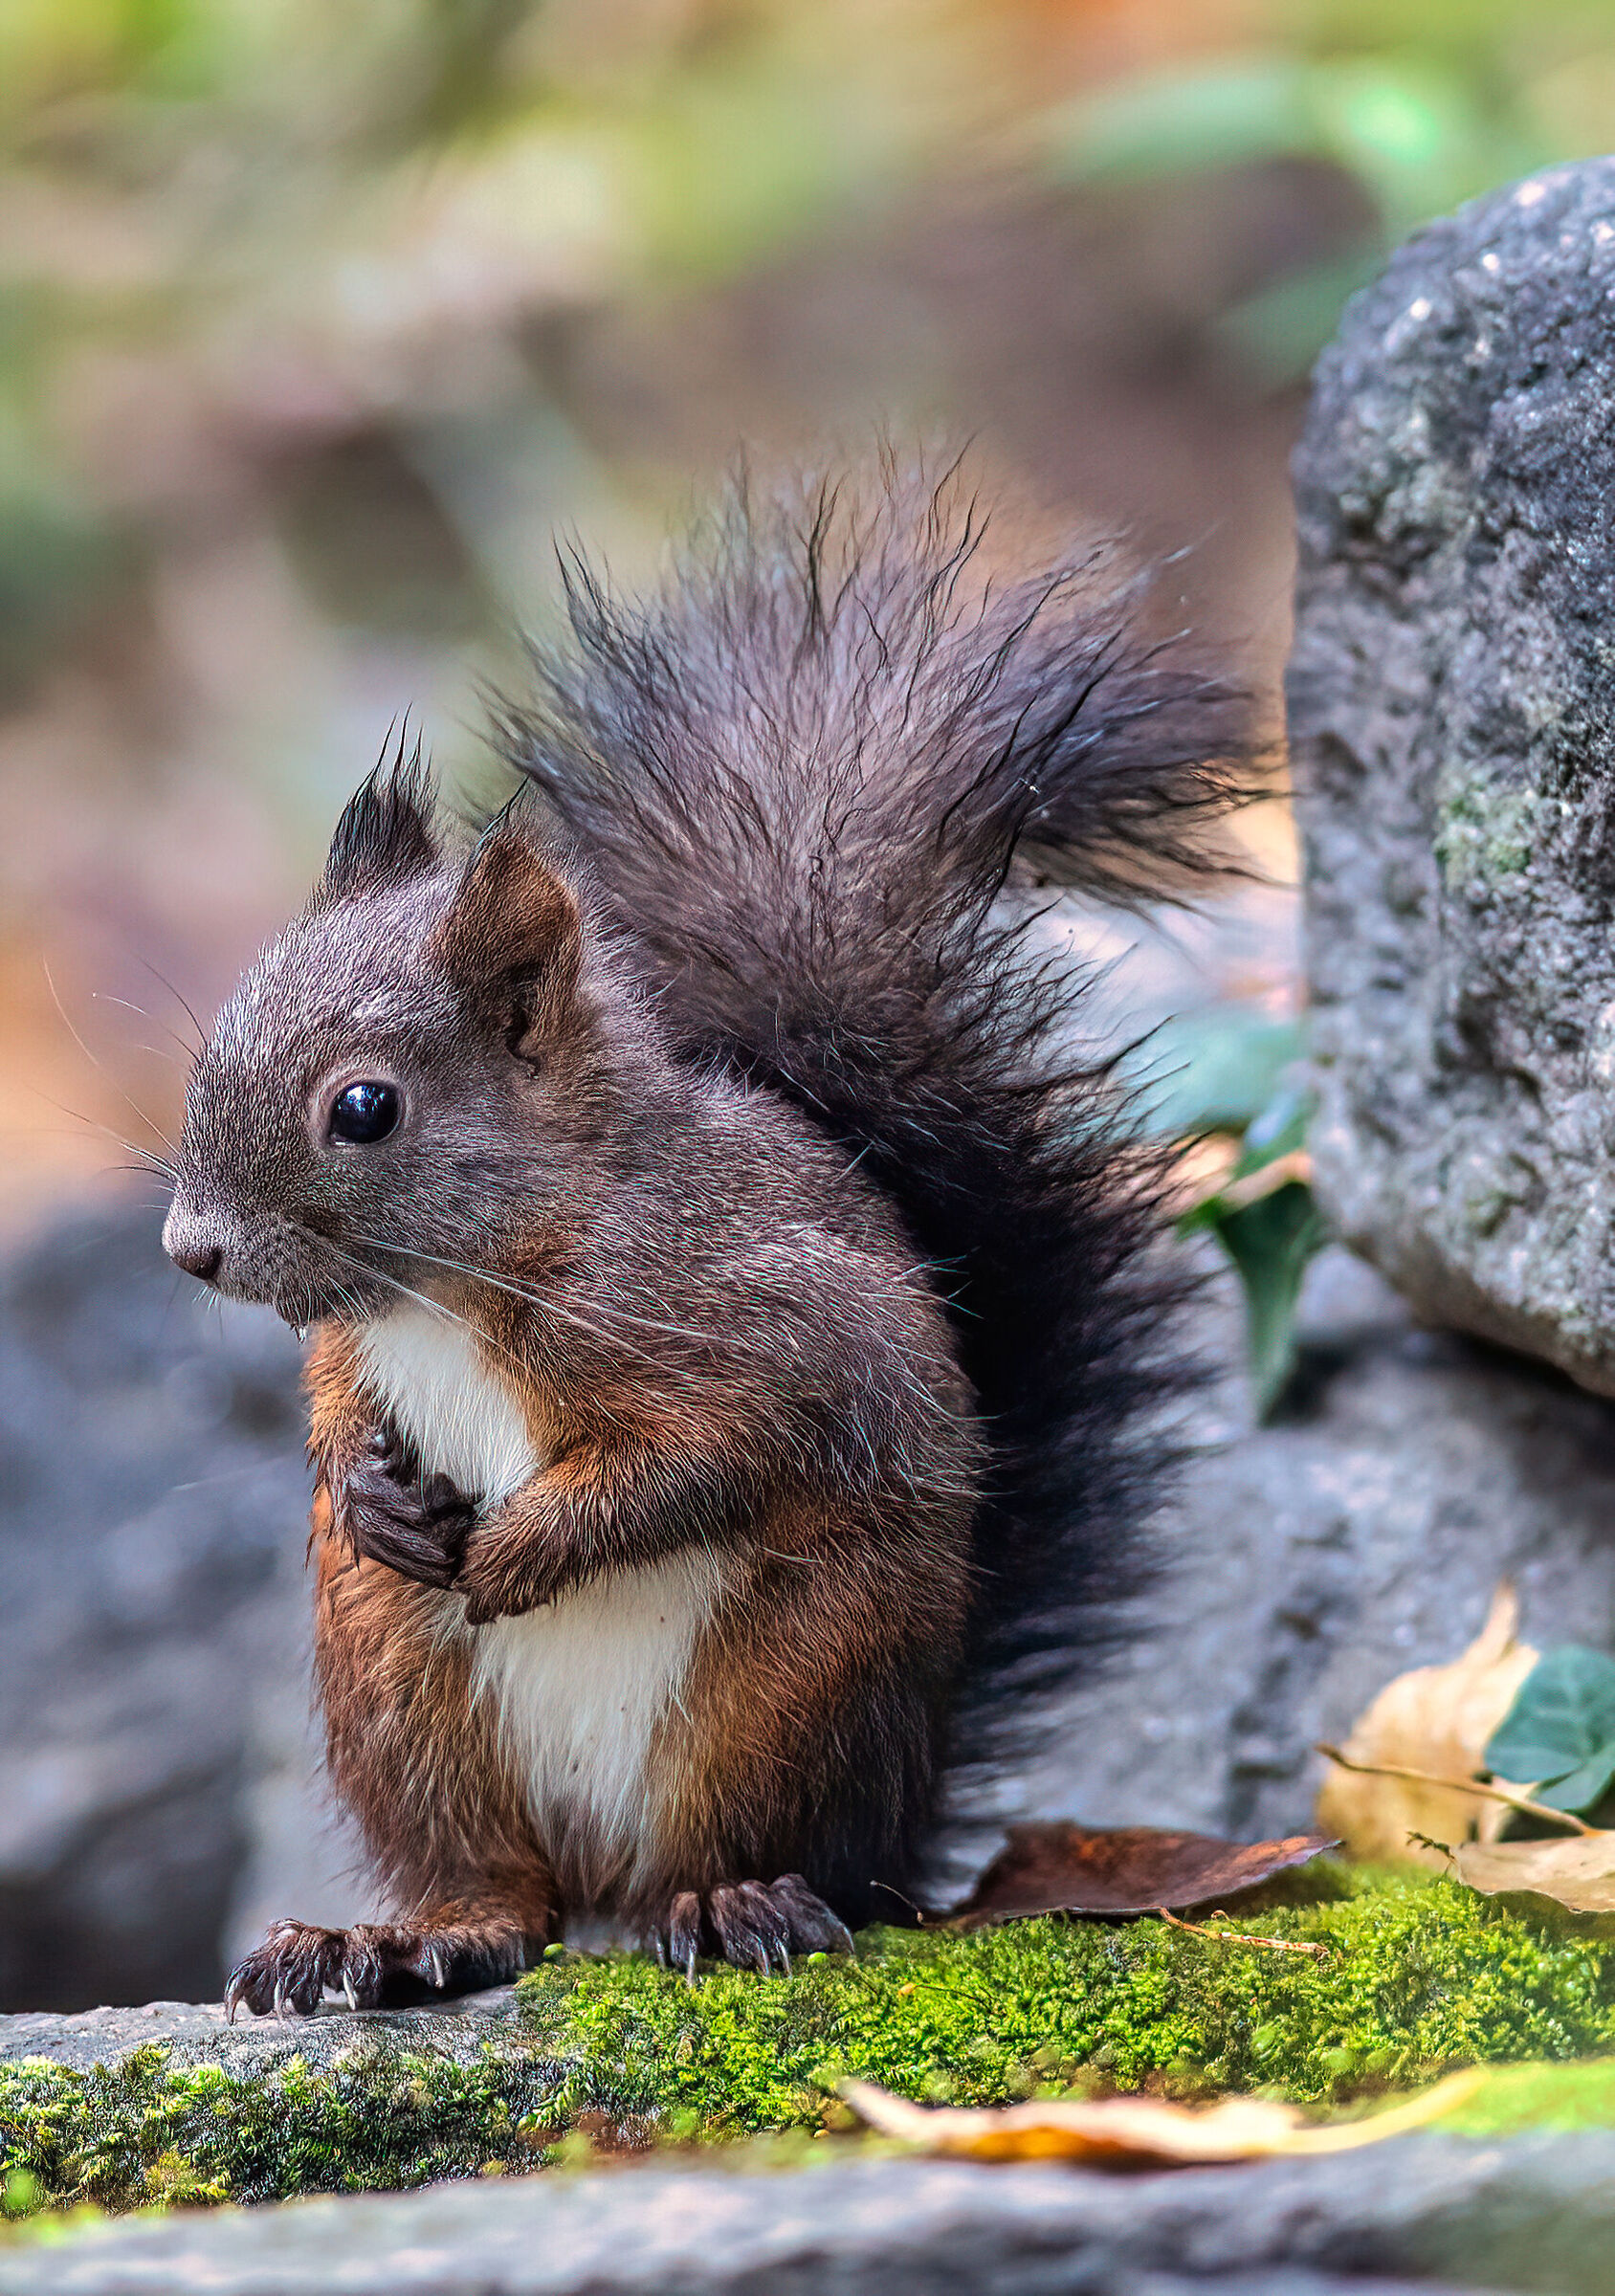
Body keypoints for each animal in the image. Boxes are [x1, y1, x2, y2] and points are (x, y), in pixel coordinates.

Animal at [161, 466, 1244, 2013]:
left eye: (363, 1109)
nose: (190, 1249)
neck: (463, 1284)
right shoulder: (360, 1349)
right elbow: (328, 1401)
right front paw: (364, 1489)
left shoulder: (754, 1319)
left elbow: (710, 1452)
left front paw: (527, 1551)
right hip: (397, 1685)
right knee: (507, 1890)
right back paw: (410, 1935)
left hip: (788, 1684)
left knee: (751, 1853)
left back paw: (734, 1903)